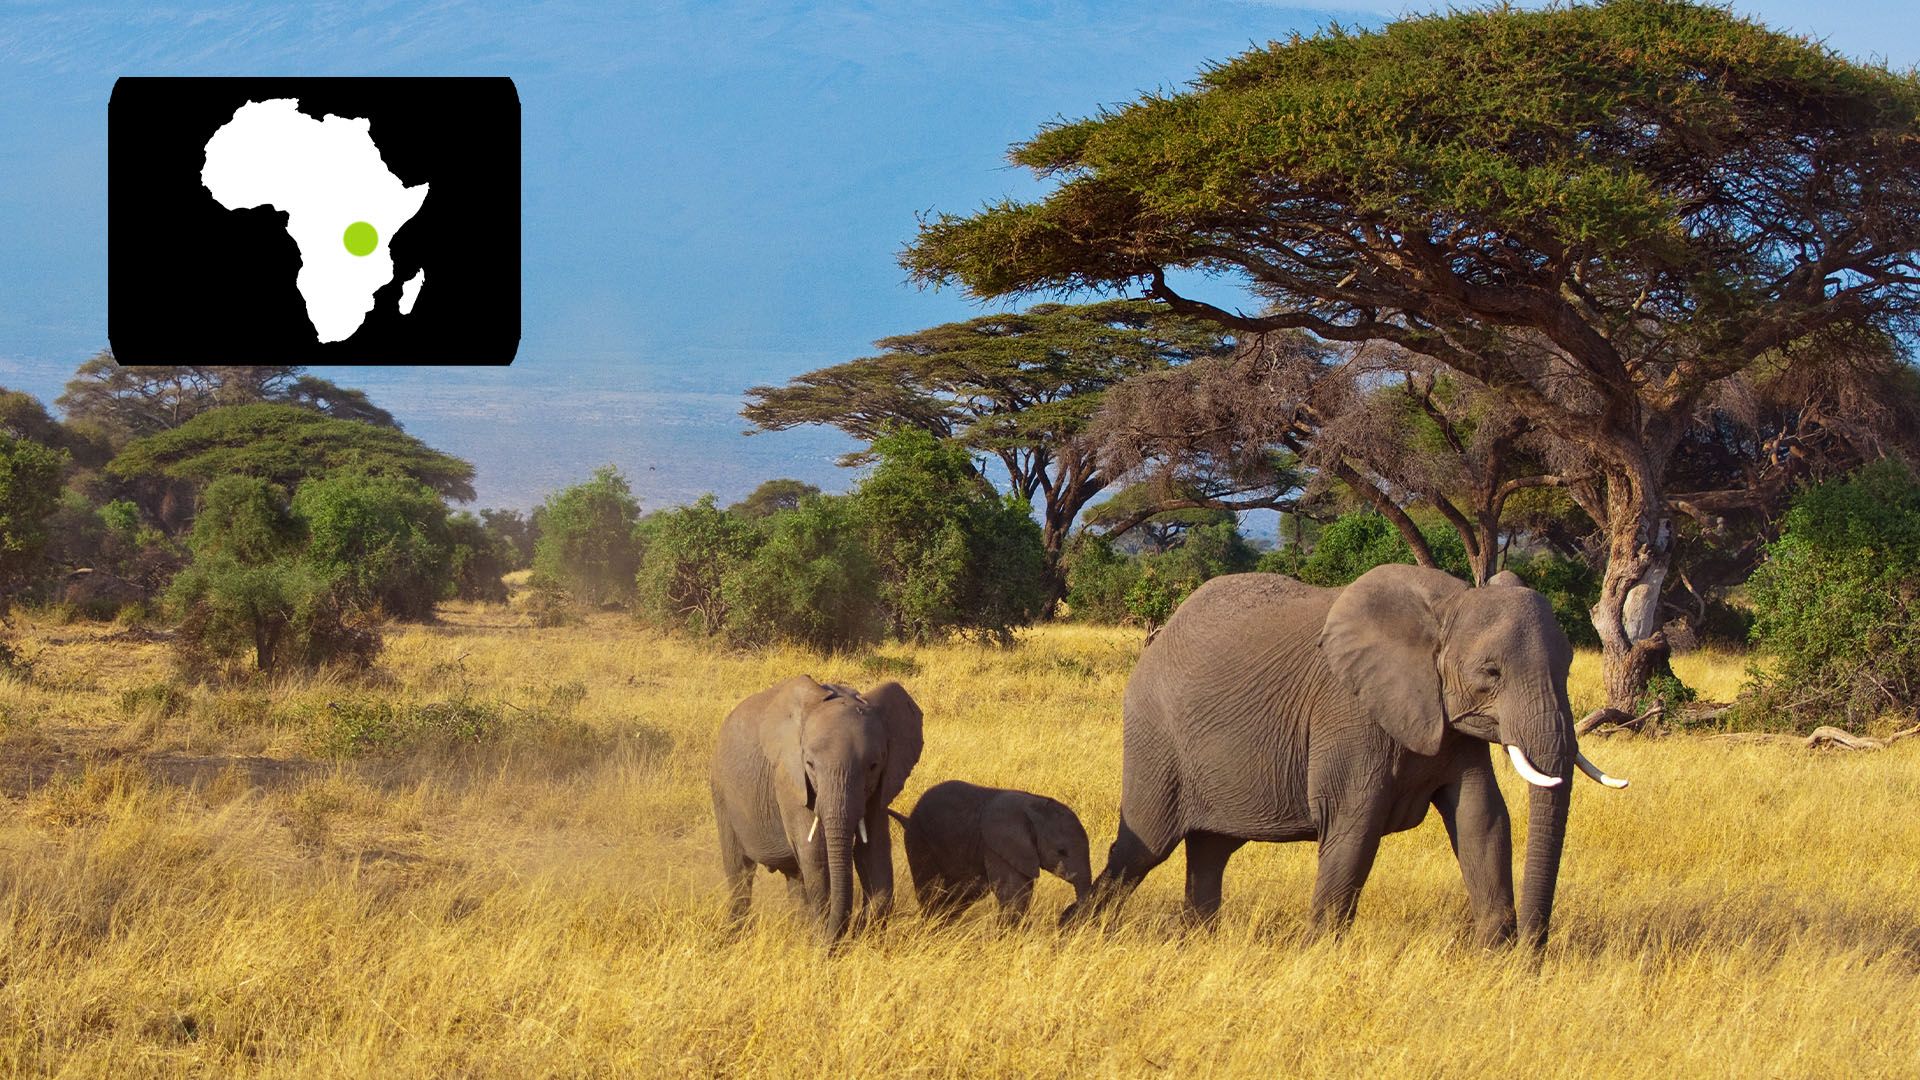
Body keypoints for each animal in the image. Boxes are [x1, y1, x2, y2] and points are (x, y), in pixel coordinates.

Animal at [714, 676, 921, 937]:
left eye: (873, 765)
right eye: (810, 764)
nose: (844, 935)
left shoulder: (882, 784)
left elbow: (873, 851)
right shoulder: (789, 780)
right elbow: (815, 854)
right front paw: (821, 939)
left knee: (793, 875)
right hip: (721, 791)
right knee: (740, 870)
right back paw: (737, 933)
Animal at [887, 776, 1090, 922]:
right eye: (1061, 851)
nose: (1069, 910)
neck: (1034, 805)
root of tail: (908, 819)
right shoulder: (998, 845)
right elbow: (1013, 894)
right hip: (919, 840)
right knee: (931, 889)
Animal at [1075, 564, 1628, 941]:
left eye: (1569, 664)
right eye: (1490, 673)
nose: (1534, 950)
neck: (1448, 605)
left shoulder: (1449, 725)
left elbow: (1482, 819)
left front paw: (1496, 956)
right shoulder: (1349, 712)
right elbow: (1354, 826)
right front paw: (1318, 953)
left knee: (1210, 851)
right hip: (1155, 737)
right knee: (1142, 848)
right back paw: (1075, 931)